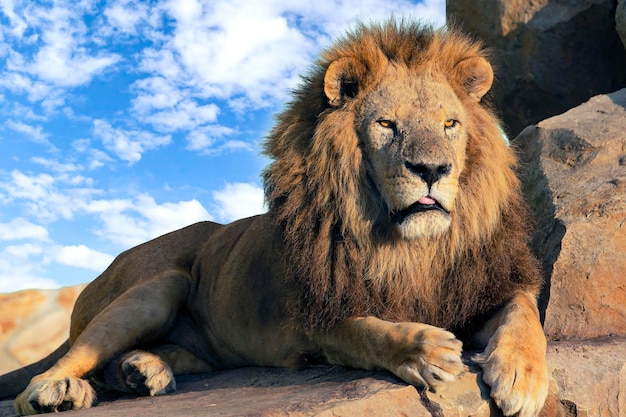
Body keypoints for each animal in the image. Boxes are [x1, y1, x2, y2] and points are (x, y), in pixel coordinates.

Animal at [0, 20, 544, 416]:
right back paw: (59, 392)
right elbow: (367, 331)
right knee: (60, 366)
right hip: (158, 284)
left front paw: (523, 378)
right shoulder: (314, 319)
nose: (432, 170)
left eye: (450, 124)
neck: (413, 247)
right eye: (387, 124)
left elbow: (524, 310)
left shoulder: (482, 281)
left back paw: (140, 370)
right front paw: (426, 350)